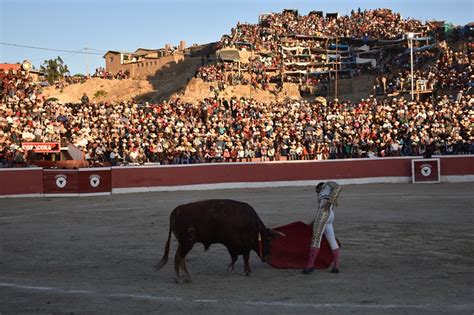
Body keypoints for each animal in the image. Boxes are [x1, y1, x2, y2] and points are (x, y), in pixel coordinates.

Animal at [156, 200, 286, 284]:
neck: (252, 224)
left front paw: (233, 268)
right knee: (178, 257)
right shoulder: (245, 245)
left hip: (184, 243)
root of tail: (177, 210)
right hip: (187, 242)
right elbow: (246, 257)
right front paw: (248, 272)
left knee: (181, 258)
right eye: (268, 239)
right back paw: (178, 278)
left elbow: (237, 257)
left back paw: (187, 278)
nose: (268, 258)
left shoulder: (234, 245)